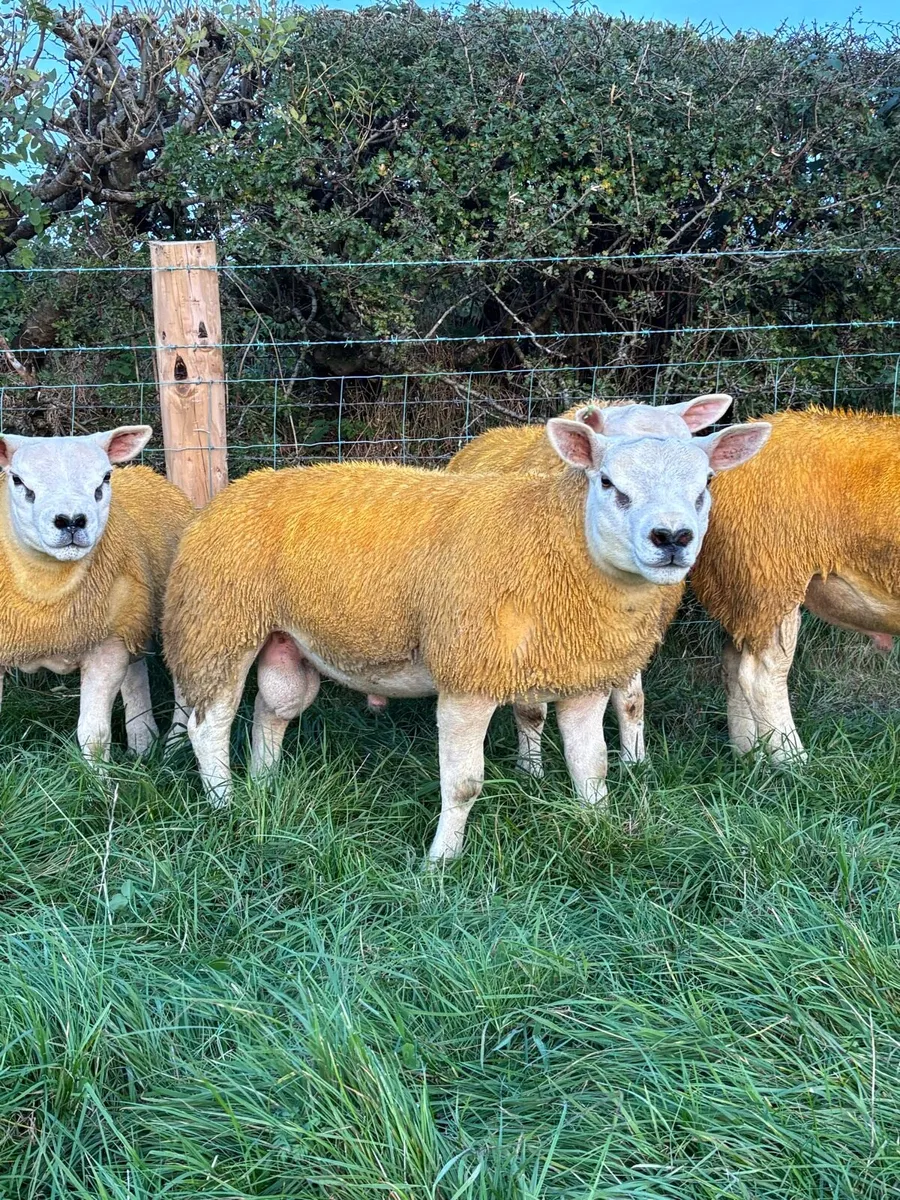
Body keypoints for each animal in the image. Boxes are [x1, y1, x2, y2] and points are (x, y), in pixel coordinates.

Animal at [0, 427, 193, 760]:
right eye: (17, 479)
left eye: (104, 477)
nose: (71, 521)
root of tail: (146, 473)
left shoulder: (107, 646)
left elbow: (94, 735)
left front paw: (99, 776)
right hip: (132, 614)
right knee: (136, 674)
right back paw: (143, 742)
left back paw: (173, 745)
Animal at [444, 393, 735, 771]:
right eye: (607, 476)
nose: (672, 535)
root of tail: (491, 433)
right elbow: (531, 710)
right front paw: (530, 770)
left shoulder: (630, 635)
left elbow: (631, 702)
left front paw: (635, 763)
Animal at [688, 407, 900, 764]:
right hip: (771, 577)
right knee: (762, 675)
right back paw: (792, 761)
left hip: (744, 587)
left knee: (733, 663)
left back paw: (748, 754)